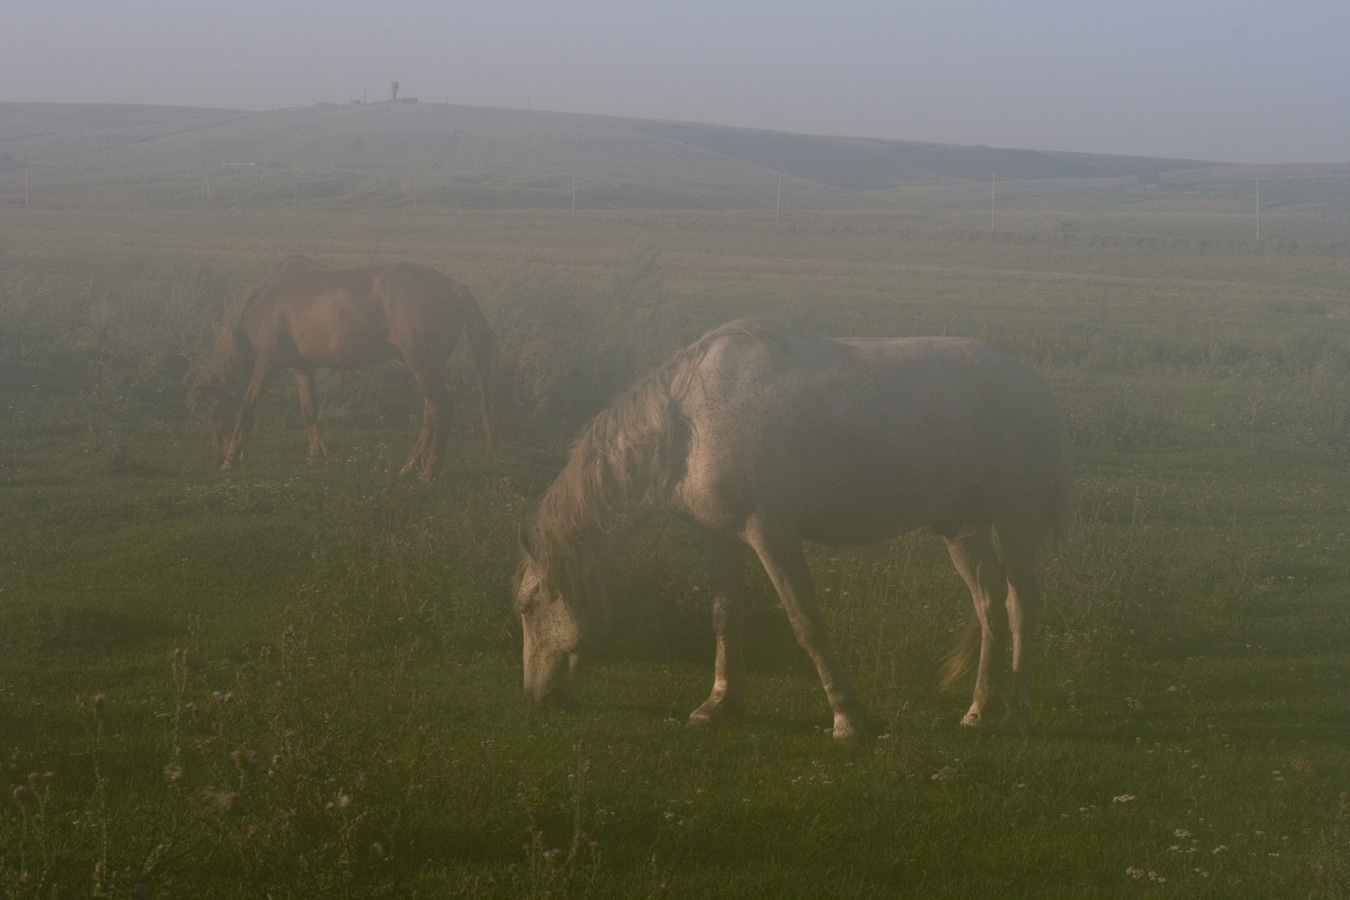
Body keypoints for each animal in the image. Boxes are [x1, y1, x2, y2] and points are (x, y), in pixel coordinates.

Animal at [193, 256, 499, 483]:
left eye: (213, 412)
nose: (216, 457)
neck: (265, 300)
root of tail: (452, 285)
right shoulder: (301, 367)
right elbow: (309, 411)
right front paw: (315, 456)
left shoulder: (266, 362)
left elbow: (247, 406)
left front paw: (232, 458)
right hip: (427, 367)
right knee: (430, 413)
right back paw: (410, 466)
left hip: (423, 365)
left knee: (441, 409)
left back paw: (430, 471)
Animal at [515, 319, 1074, 744]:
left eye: (525, 606)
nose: (536, 697)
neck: (689, 424)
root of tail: (1039, 390)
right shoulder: (719, 537)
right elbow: (725, 615)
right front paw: (718, 704)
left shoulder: (770, 533)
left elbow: (806, 622)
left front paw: (848, 718)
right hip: (962, 527)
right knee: (988, 602)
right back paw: (978, 709)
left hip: (1017, 519)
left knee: (1020, 605)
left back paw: (1014, 714)